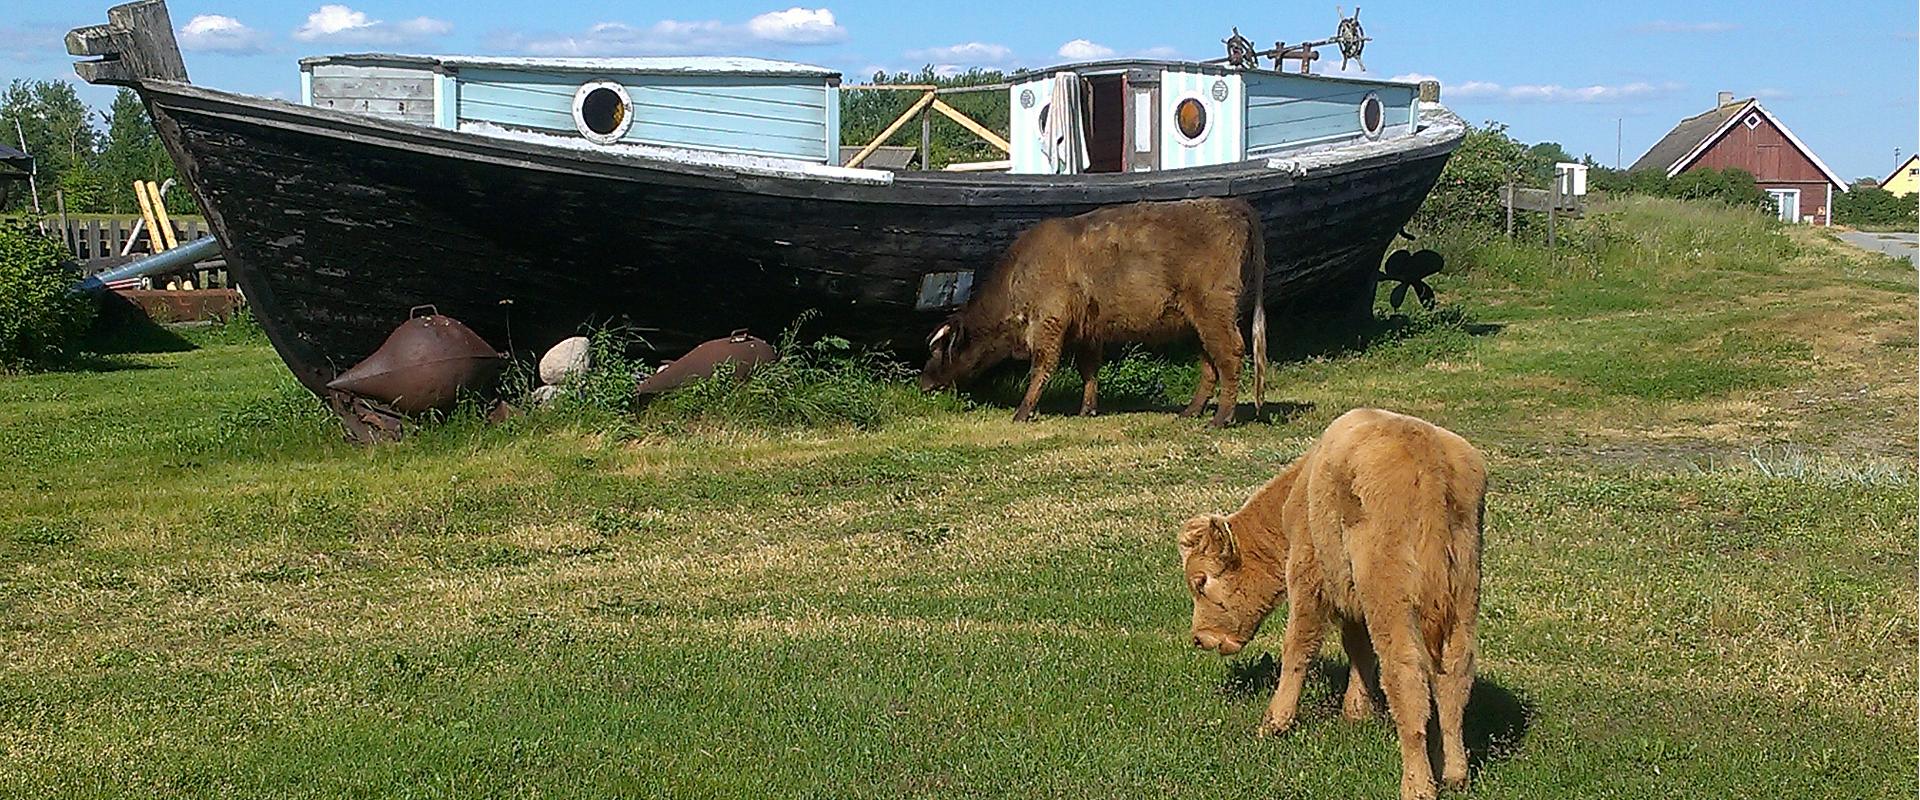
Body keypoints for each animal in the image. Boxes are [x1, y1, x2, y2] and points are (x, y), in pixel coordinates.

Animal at [917, 197, 1267, 427]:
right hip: (1200, 321)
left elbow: (1041, 369)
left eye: (937, 350)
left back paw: (1221, 418)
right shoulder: (1087, 331)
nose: (923, 384)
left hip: (1214, 311)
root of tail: (1232, 205)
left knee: (1230, 355)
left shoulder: (1049, 324)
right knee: (1210, 362)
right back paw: (1191, 411)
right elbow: (1088, 369)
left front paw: (1023, 412)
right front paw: (1088, 409)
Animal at [1175, 410, 1489, 798]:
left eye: (1201, 582)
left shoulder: (1308, 576)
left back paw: (1417, 784)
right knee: (1455, 674)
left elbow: (1298, 646)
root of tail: (1426, 454)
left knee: (1405, 676)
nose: (1199, 637)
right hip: (1463, 597)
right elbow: (1358, 648)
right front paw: (1356, 711)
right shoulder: (1352, 598)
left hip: (1392, 602)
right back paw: (1454, 773)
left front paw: (1275, 722)